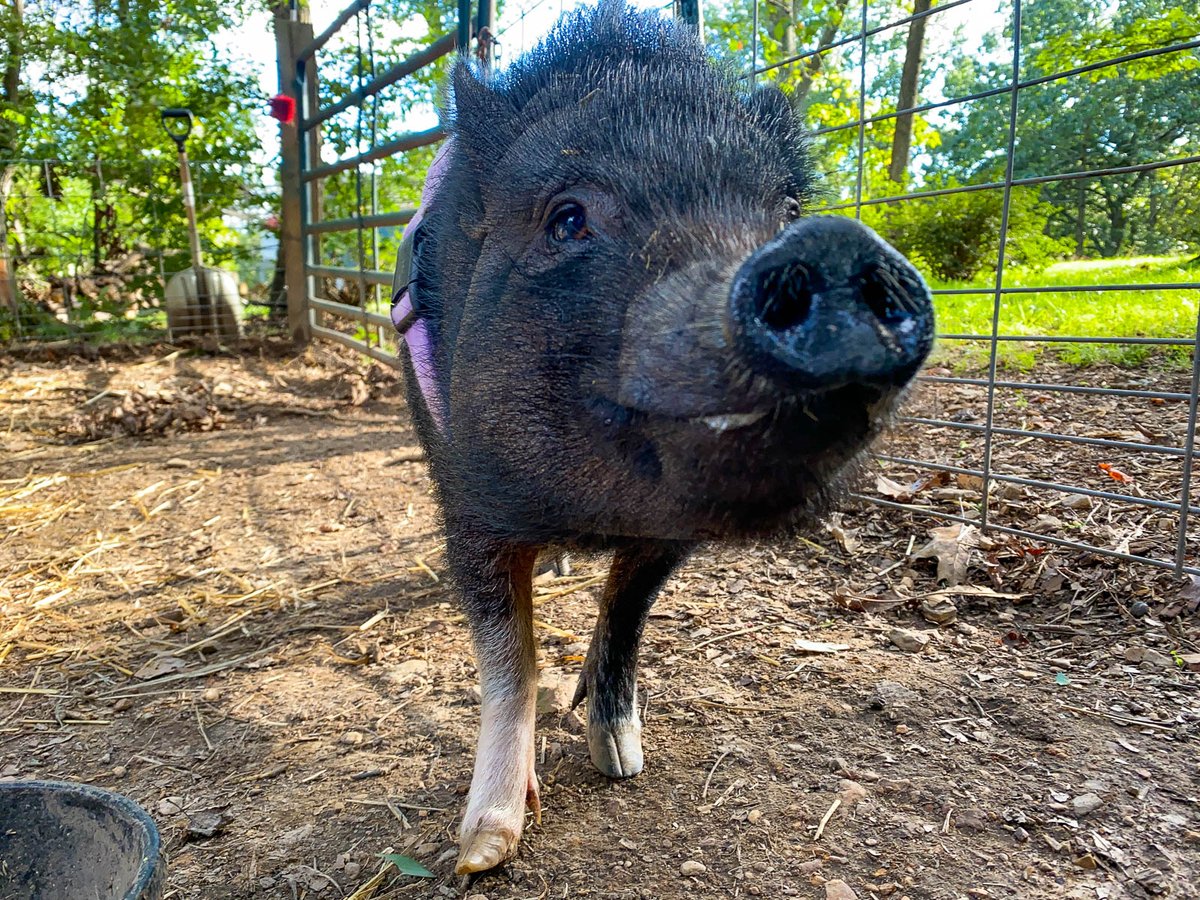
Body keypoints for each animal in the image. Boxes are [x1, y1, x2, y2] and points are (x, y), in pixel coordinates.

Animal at [389, 0, 934, 874]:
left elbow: (626, 613)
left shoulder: (669, 536)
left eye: (786, 210)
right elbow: (510, 653)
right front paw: (481, 851)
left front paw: (623, 761)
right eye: (567, 217)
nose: (830, 247)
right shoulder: (467, 499)